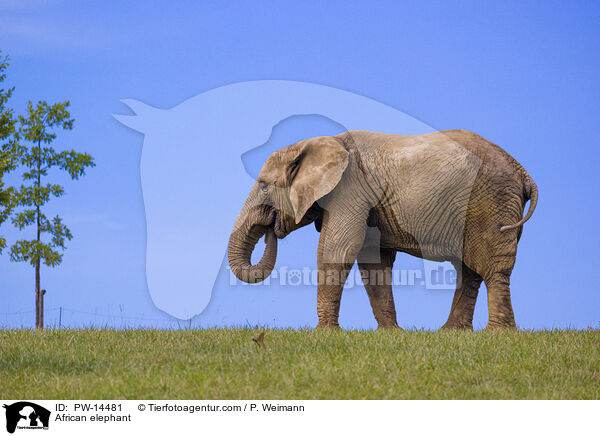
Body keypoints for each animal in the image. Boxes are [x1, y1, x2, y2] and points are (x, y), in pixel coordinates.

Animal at [227, 129, 536, 330]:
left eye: (264, 186)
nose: (272, 228)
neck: (321, 142)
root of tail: (523, 173)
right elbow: (371, 259)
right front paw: (390, 333)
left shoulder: (350, 188)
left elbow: (338, 248)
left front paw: (324, 332)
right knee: (470, 270)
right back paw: (452, 332)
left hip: (491, 202)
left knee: (492, 267)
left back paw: (497, 333)